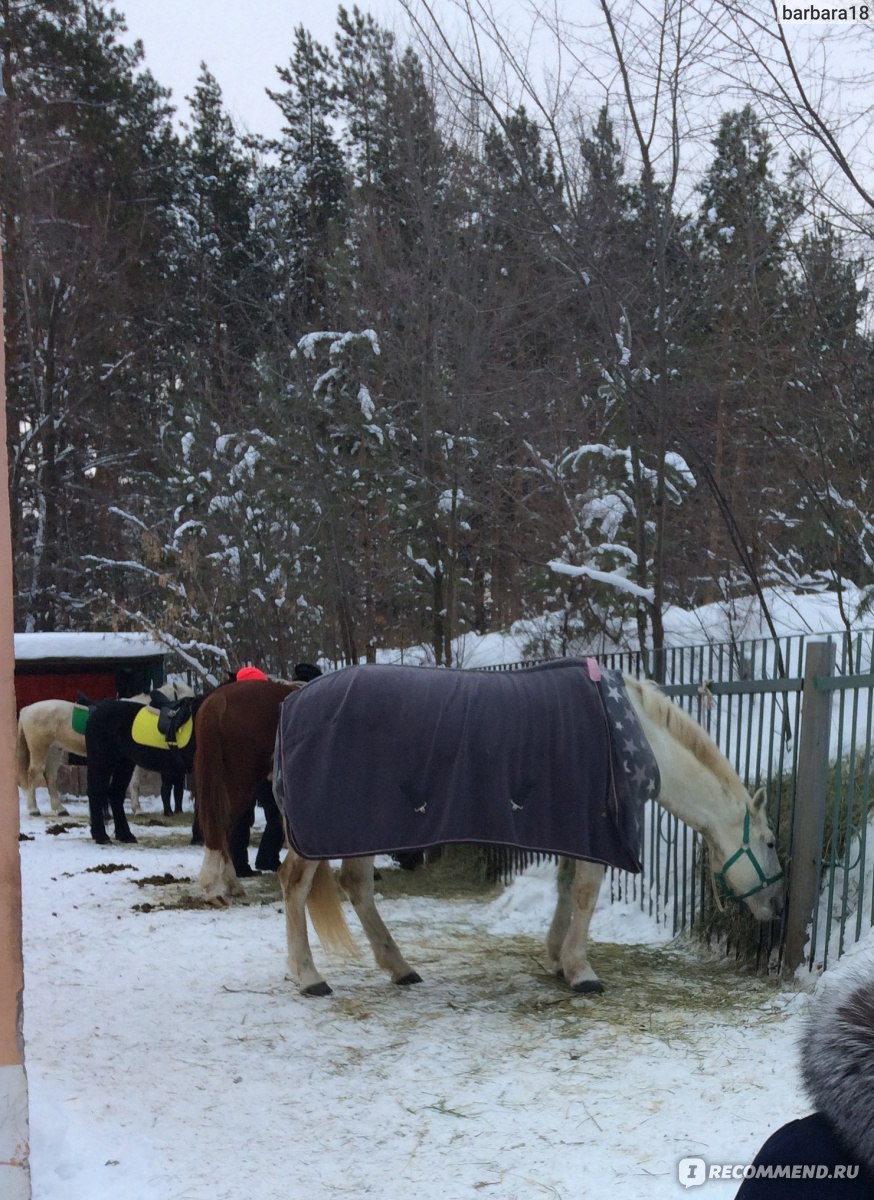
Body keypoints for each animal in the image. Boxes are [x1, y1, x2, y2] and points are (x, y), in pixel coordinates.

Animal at [15, 681, 194, 820]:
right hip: (40, 749)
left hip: (54, 750)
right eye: (185, 701)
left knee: (50, 777)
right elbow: (135, 784)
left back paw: (60, 810)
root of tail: (27, 709)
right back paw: (34, 809)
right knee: (33, 774)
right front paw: (137, 810)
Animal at [84, 696, 207, 844]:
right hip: (102, 762)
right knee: (96, 793)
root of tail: (95, 712)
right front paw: (198, 838)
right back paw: (101, 836)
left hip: (124, 764)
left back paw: (125, 835)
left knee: (115, 794)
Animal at [274, 676, 787, 993]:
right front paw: (581, 971)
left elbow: (565, 888)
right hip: (322, 830)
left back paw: (400, 968)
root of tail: (292, 704)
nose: (778, 907)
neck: (631, 737)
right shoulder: (594, 832)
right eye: (770, 842)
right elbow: (585, 893)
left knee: (357, 886)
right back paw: (309, 976)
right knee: (295, 884)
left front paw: (557, 958)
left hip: (359, 828)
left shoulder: (574, 831)